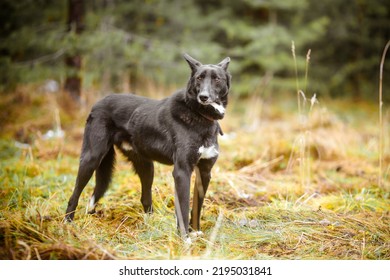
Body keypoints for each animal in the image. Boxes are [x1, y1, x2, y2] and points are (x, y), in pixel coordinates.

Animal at [64, 53, 232, 240]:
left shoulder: (205, 172)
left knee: (144, 198)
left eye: (216, 79)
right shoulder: (182, 171)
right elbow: (182, 207)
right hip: (91, 158)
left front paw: (196, 232)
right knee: (74, 195)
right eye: (199, 78)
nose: (203, 97)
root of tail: (98, 103)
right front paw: (184, 239)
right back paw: (68, 224)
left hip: (146, 166)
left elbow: (197, 205)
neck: (200, 115)